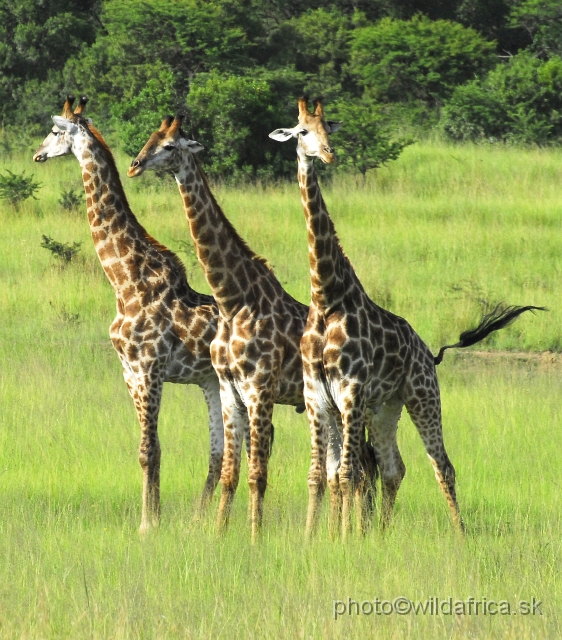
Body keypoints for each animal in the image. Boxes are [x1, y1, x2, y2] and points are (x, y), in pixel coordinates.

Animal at [32, 97, 228, 532]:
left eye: (54, 131)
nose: (36, 154)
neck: (125, 281)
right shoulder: (128, 372)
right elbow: (147, 448)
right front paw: (154, 518)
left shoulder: (149, 368)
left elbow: (149, 449)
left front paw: (147, 525)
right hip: (213, 382)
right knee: (221, 453)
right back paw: (199, 521)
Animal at [126, 114, 368, 540]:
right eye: (150, 138)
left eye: (169, 146)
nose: (135, 165)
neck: (236, 299)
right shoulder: (231, 390)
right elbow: (230, 473)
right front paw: (219, 535)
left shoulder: (258, 390)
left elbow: (257, 474)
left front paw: (255, 538)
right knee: (344, 469)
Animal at [272, 97, 544, 536]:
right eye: (302, 132)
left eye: (329, 127)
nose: (327, 154)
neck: (326, 297)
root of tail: (429, 353)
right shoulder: (317, 397)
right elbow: (319, 475)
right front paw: (316, 539)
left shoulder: (350, 393)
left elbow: (345, 474)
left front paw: (343, 540)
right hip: (387, 407)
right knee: (393, 467)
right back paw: (382, 536)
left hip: (423, 395)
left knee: (442, 466)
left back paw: (460, 536)